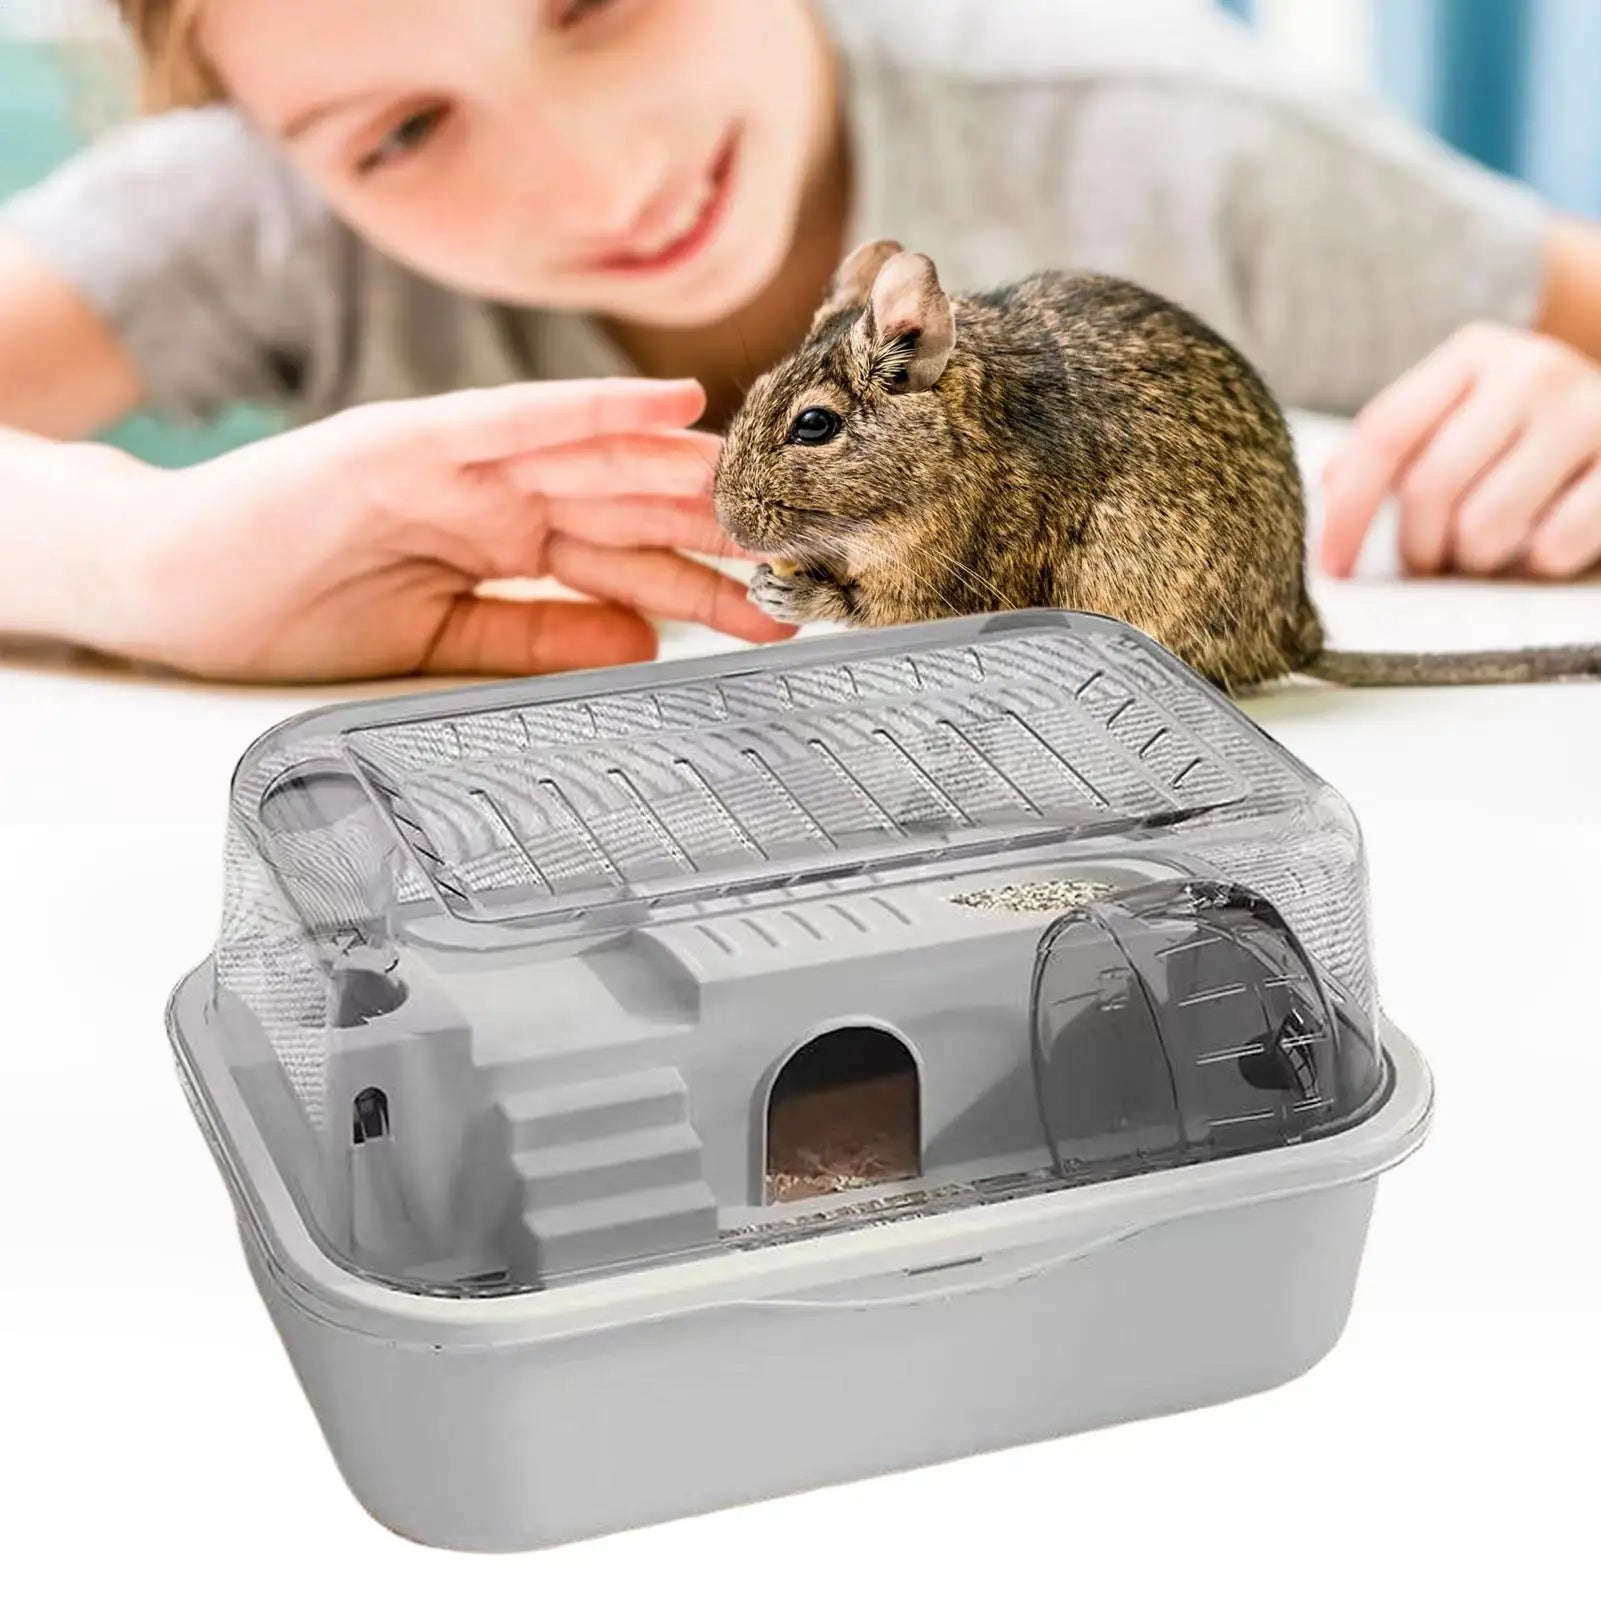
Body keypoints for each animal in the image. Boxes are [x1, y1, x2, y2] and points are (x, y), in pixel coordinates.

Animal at [713, 239, 1601, 692]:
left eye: (814, 425)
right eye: (753, 393)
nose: (724, 519)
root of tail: (1298, 633)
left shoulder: (945, 580)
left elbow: (868, 605)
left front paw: (787, 589)